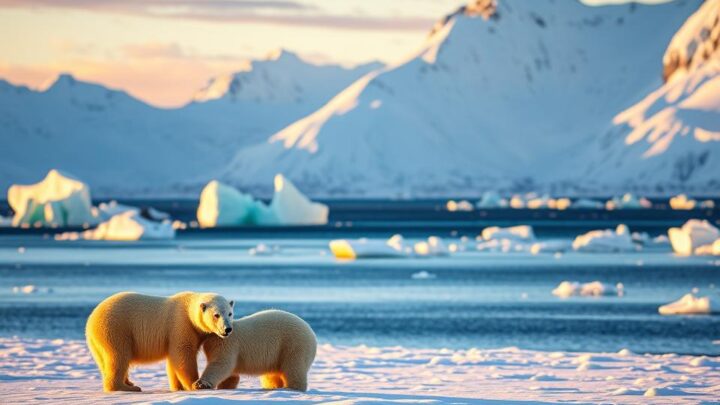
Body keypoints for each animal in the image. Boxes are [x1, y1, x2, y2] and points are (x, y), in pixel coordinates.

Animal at [85, 291, 234, 392]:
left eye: (230, 313)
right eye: (216, 315)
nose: (228, 329)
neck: (189, 310)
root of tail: (91, 319)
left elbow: (173, 360)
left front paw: (178, 387)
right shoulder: (181, 325)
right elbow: (183, 355)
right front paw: (194, 384)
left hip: (97, 342)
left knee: (106, 360)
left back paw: (129, 383)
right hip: (115, 329)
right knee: (119, 356)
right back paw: (128, 387)